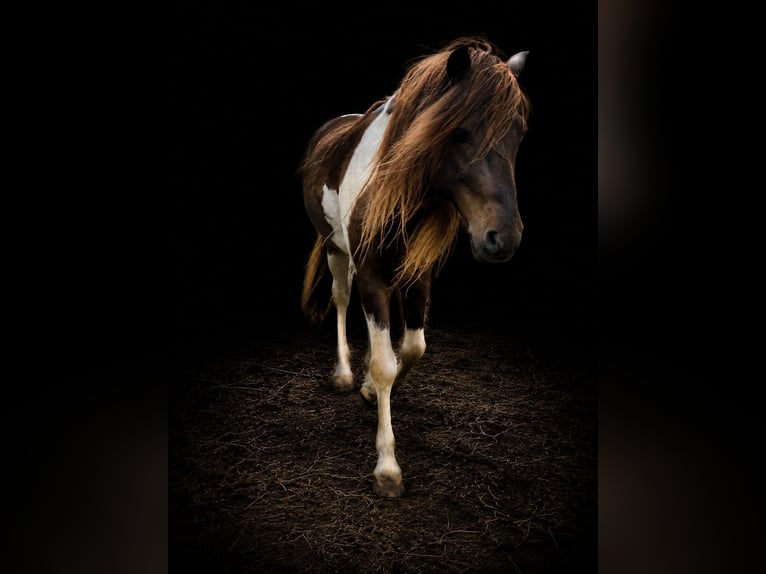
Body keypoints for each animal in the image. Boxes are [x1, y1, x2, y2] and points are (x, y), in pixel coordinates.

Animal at [299, 37, 531, 497]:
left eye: (518, 133)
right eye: (460, 133)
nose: (503, 238)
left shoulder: (417, 276)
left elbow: (411, 348)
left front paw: (371, 393)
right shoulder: (371, 276)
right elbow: (385, 363)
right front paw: (387, 467)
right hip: (335, 249)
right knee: (340, 299)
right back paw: (343, 373)